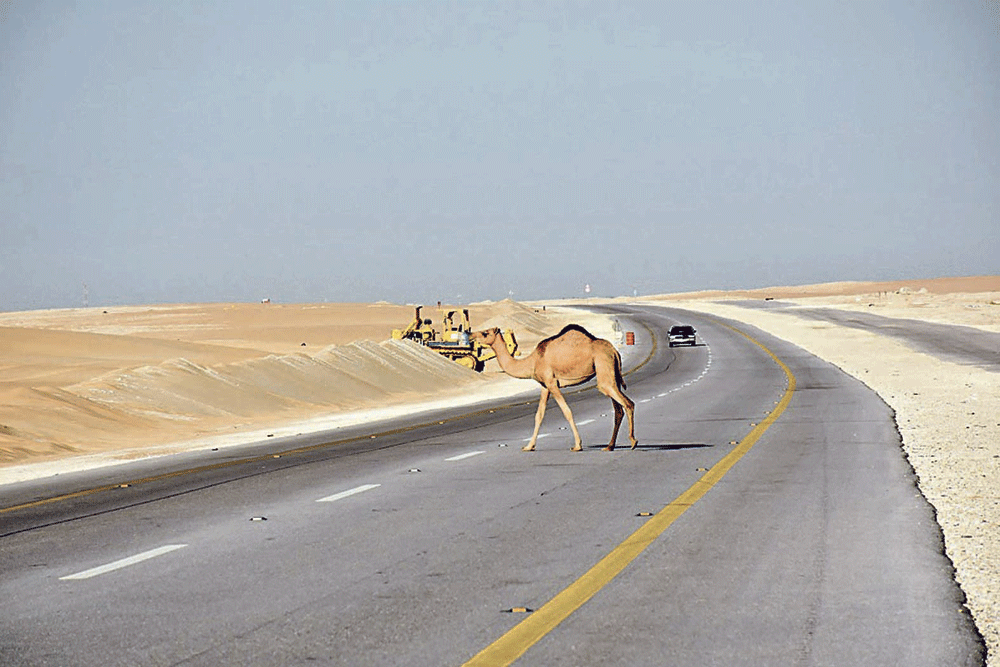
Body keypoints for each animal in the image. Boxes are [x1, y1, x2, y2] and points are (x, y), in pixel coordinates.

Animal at [470, 324, 640, 452]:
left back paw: (633, 441)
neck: (533, 361)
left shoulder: (552, 382)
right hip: (611, 374)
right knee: (618, 409)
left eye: (485, 333)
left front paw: (577, 445)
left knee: (627, 403)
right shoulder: (545, 386)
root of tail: (614, 350)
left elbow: (567, 411)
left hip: (603, 368)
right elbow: (539, 415)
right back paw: (610, 446)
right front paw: (529, 446)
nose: (471, 335)